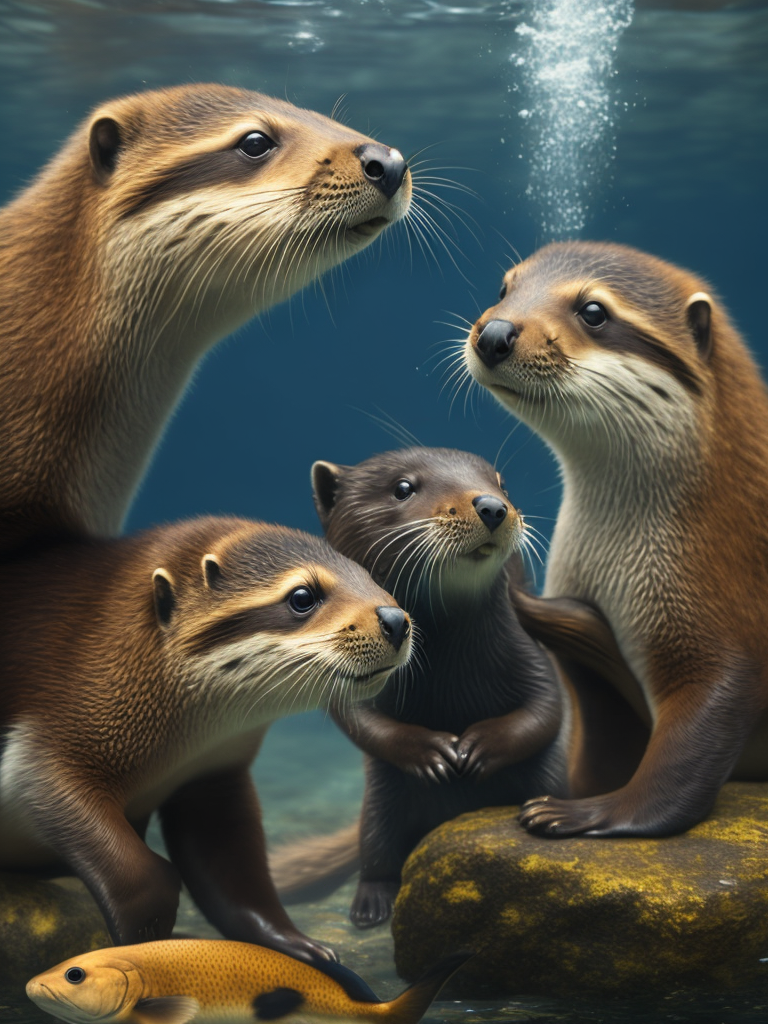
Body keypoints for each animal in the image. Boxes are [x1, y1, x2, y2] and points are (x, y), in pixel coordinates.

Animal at [0, 517, 411, 962]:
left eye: (373, 579)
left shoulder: (211, 772)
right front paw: (147, 936)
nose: (396, 619)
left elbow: (235, 878)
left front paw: (297, 945)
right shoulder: (55, 731)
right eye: (303, 596)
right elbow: (54, 794)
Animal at [271, 448, 566, 927]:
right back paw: (371, 905)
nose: (492, 505)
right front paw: (432, 752)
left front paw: (480, 747)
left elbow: (546, 709)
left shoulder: (532, 659)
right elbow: (360, 721)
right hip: (379, 807)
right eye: (403, 487)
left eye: (501, 482)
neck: (449, 671)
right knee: (377, 854)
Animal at [464, 240, 768, 837]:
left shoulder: (713, 604)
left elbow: (695, 741)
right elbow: (602, 731)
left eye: (593, 312)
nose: (495, 332)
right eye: (504, 288)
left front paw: (582, 812)